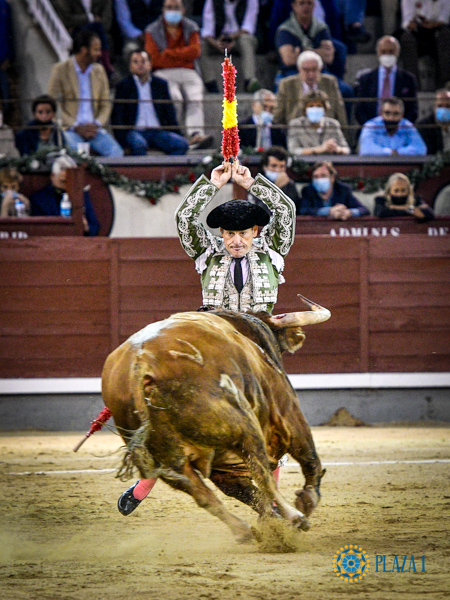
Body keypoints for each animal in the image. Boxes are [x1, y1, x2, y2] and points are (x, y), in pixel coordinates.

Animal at [101, 296, 330, 543]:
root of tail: (140, 364)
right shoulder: (288, 412)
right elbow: (309, 459)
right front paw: (304, 503)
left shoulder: (223, 467)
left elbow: (248, 494)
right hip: (243, 424)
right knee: (261, 471)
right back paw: (294, 517)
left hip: (167, 458)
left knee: (200, 492)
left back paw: (245, 530)